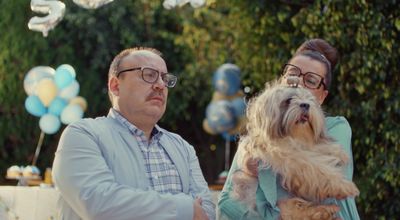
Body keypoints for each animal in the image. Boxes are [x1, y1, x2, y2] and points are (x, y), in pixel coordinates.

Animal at [231, 81, 360, 220]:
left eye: (310, 99)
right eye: (288, 100)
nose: (305, 105)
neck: (296, 137)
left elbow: (319, 148)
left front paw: (337, 151)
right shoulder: (292, 158)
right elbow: (318, 169)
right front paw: (344, 186)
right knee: (299, 210)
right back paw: (325, 211)